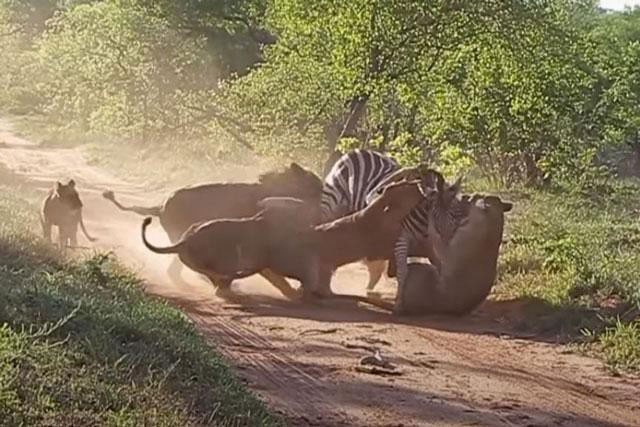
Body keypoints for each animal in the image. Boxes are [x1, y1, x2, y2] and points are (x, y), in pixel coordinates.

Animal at [107, 162, 324, 300]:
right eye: (316, 186)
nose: (323, 194)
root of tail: (160, 206)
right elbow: (275, 275)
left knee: (179, 269)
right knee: (183, 270)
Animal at [320, 149, 464, 312]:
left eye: (455, 215)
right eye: (433, 213)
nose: (445, 244)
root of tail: (358, 151)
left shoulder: (428, 245)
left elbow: (439, 267)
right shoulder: (401, 239)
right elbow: (403, 272)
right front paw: (399, 303)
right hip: (331, 204)